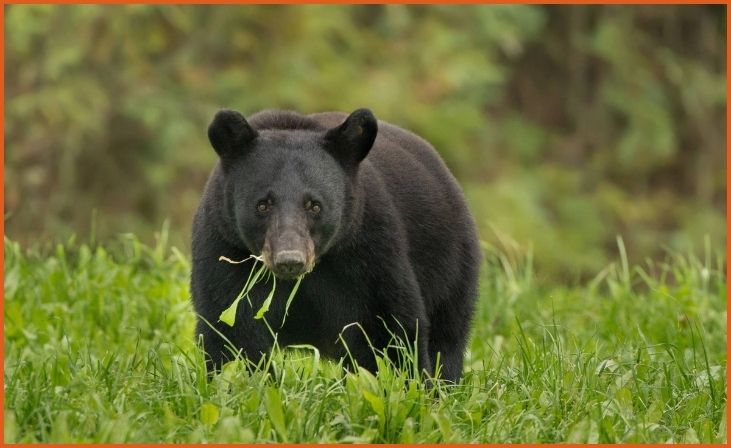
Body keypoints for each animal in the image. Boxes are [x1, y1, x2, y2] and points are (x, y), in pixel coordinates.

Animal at [192, 107, 484, 382]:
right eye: (262, 204)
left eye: (314, 205)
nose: (290, 260)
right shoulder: (225, 247)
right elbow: (232, 328)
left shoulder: (367, 251)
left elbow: (386, 328)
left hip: (451, 265)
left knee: (447, 338)